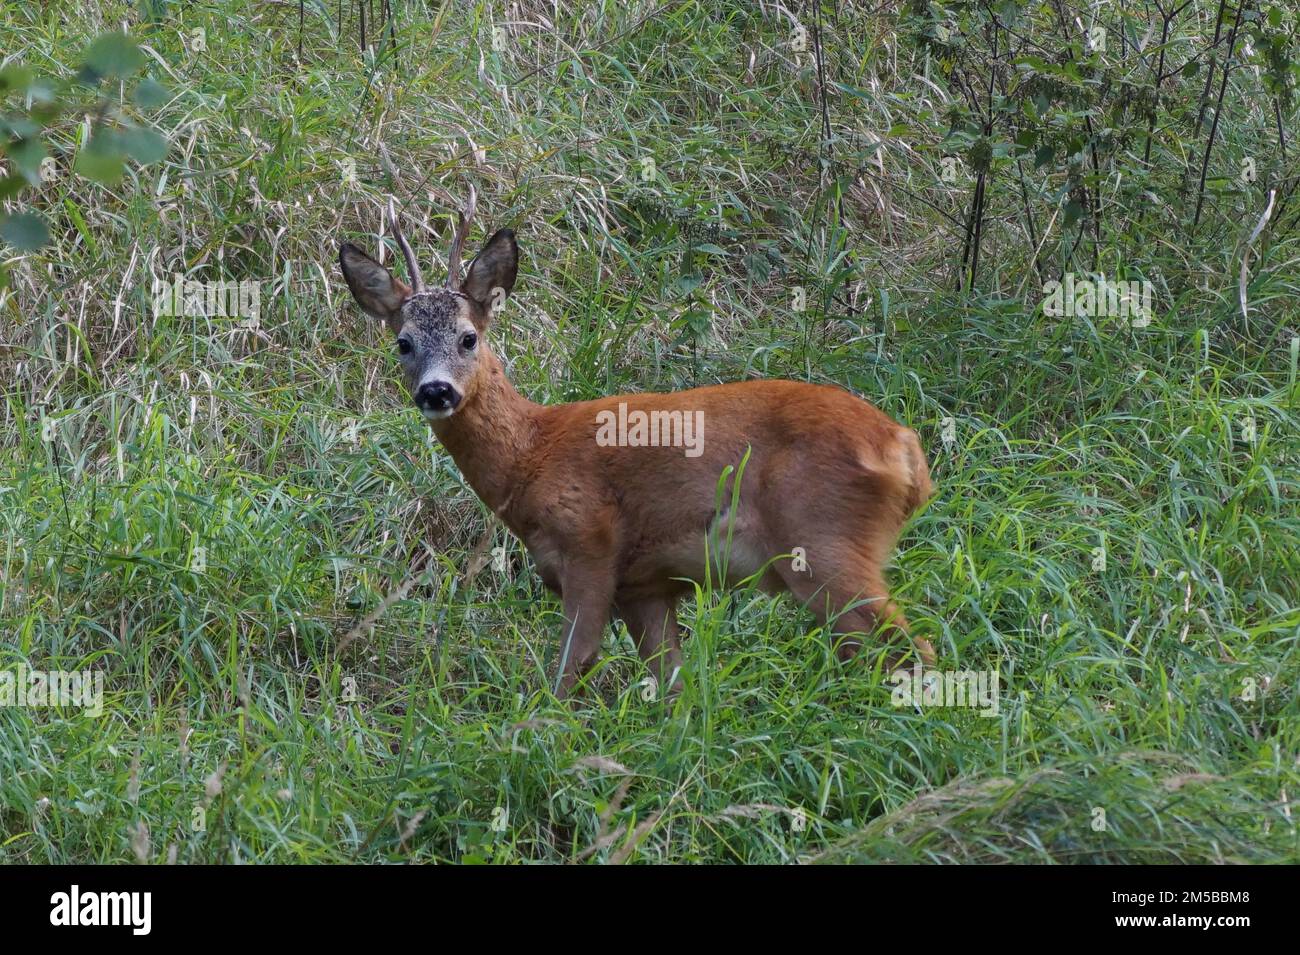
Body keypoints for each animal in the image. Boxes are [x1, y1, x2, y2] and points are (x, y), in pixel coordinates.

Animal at [339, 193, 936, 700]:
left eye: (468, 337)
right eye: (403, 343)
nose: (436, 390)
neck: (531, 455)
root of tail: (905, 448)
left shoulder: (590, 546)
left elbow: (568, 671)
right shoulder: (644, 586)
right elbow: (674, 689)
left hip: (824, 540)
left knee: (909, 650)